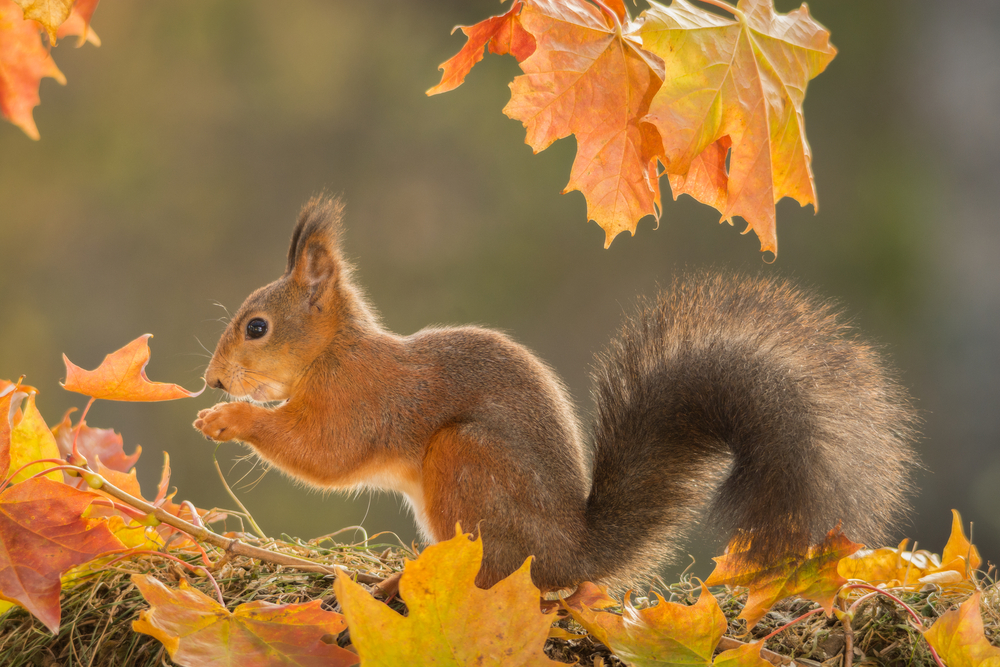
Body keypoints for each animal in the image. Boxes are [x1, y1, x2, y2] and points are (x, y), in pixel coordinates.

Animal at [191, 196, 916, 592]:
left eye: (257, 327)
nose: (213, 379)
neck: (333, 355)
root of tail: (572, 557)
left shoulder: (362, 402)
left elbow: (322, 454)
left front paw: (228, 419)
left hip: (465, 461)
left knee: (500, 573)